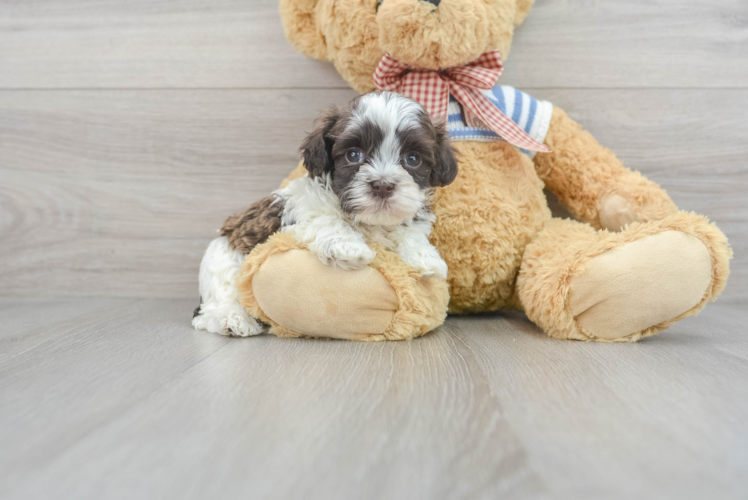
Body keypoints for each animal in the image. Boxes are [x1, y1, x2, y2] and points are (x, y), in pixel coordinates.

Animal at [191, 92, 456, 338]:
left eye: (412, 159)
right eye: (353, 155)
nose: (383, 185)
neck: (369, 222)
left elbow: (409, 230)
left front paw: (426, 258)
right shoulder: (296, 212)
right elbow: (325, 218)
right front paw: (348, 247)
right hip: (221, 259)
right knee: (217, 301)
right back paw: (232, 319)